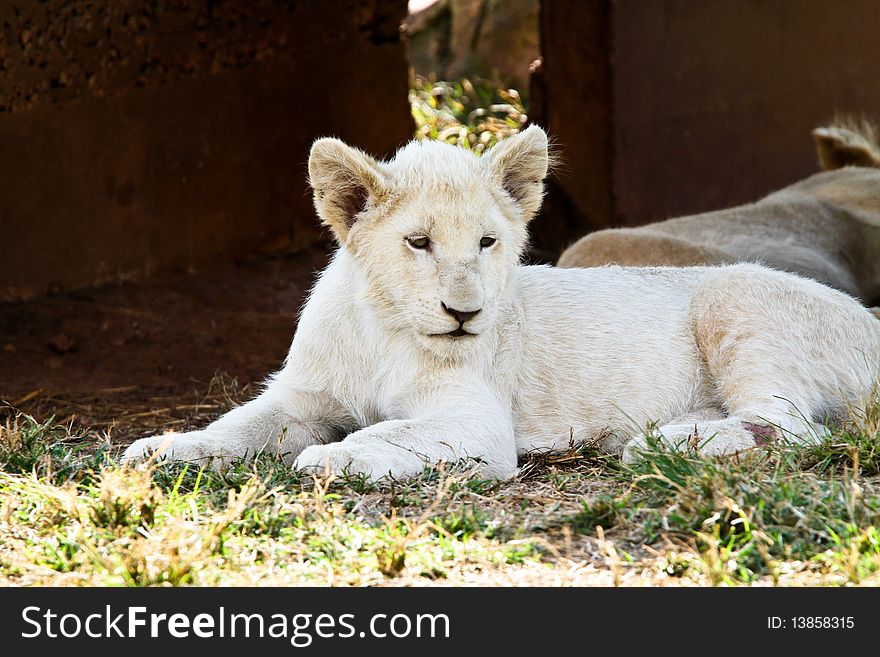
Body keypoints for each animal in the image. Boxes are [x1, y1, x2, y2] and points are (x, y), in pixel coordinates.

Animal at [122, 125, 880, 480]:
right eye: (419, 242)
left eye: (488, 242)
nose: (465, 313)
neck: (385, 329)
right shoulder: (301, 394)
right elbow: (235, 426)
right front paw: (163, 449)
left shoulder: (478, 422)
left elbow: (388, 434)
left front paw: (333, 457)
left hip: (733, 293)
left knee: (793, 427)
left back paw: (664, 444)